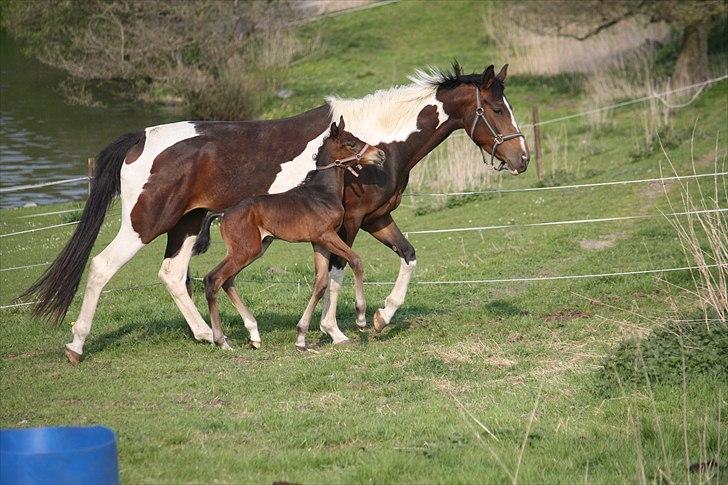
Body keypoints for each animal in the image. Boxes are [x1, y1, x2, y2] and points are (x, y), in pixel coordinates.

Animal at [193, 119, 386, 350]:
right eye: (351, 143)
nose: (380, 155)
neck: (323, 193)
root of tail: (224, 212)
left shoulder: (319, 243)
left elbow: (321, 283)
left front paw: (301, 337)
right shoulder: (326, 235)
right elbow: (356, 260)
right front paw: (361, 318)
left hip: (255, 248)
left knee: (228, 280)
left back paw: (254, 335)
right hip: (246, 250)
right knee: (214, 279)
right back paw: (222, 341)